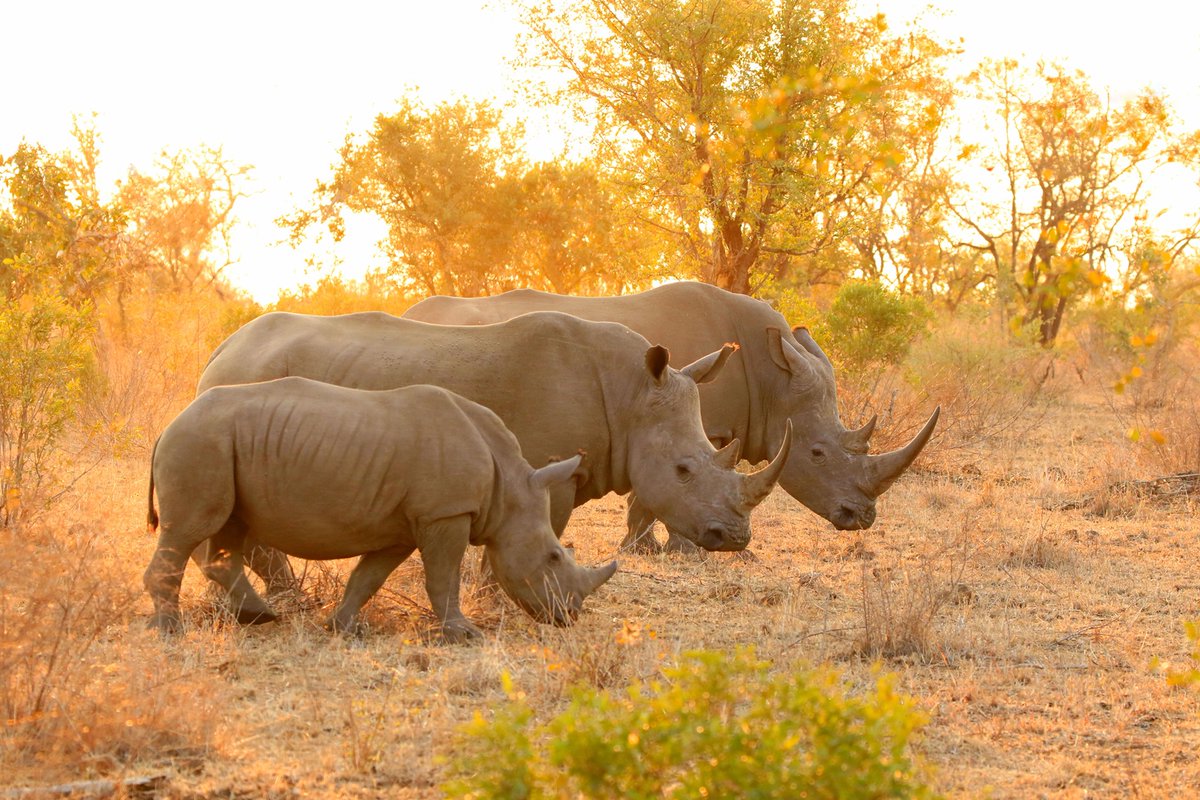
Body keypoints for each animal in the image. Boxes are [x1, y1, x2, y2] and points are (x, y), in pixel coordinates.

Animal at [144, 378, 618, 641]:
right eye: (554, 557)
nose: (570, 616)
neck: (509, 488)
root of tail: (169, 424)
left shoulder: (405, 526)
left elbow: (368, 577)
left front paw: (342, 628)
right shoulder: (445, 513)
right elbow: (443, 578)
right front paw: (464, 635)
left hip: (218, 444)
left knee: (228, 529)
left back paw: (258, 618)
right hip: (201, 441)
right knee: (190, 530)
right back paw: (171, 631)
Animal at [196, 310, 791, 592]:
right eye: (684, 469)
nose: (736, 538)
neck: (629, 394)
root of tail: (220, 349)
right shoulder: (549, 470)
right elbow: (535, 533)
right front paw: (501, 596)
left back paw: (286, 596)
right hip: (248, 380)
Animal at [404, 282, 939, 551]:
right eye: (818, 453)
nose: (861, 519)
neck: (772, 378)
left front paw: (647, 548)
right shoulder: (697, 422)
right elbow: (666, 489)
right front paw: (671, 550)